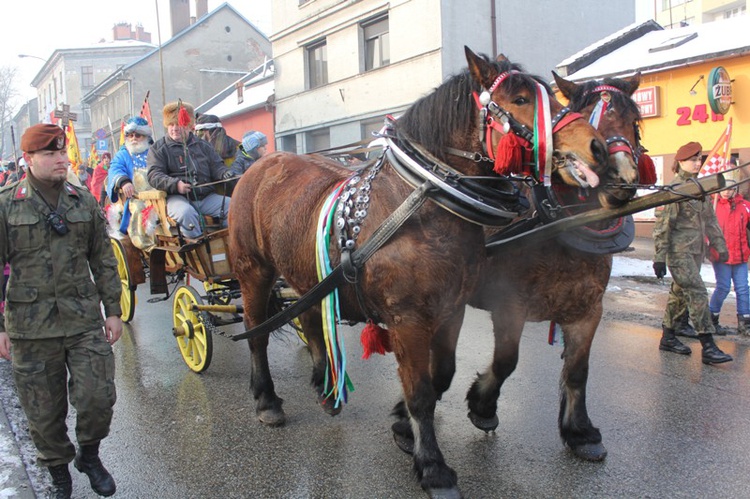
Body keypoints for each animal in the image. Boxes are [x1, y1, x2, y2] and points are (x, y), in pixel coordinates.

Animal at [229, 47, 612, 499]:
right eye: (519, 100)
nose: (597, 148)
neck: (422, 201)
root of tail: (261, 164)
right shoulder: (407, 320)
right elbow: (420, 393)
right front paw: (432, 466)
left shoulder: (452, 309)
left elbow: (441, 374)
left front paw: (410, 434)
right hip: (253, 272)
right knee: (257, 333)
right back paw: (267, 400)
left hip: (307, 275)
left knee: (309, 319)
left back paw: (325, 385)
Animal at [468, 72, 644, 462]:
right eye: (589, 112)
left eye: (635, 121)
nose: (620, 177)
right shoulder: (510, 305)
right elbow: (505, 361)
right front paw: (482, 406)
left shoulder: (588, 309)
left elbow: (578, 370)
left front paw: (580, 432)